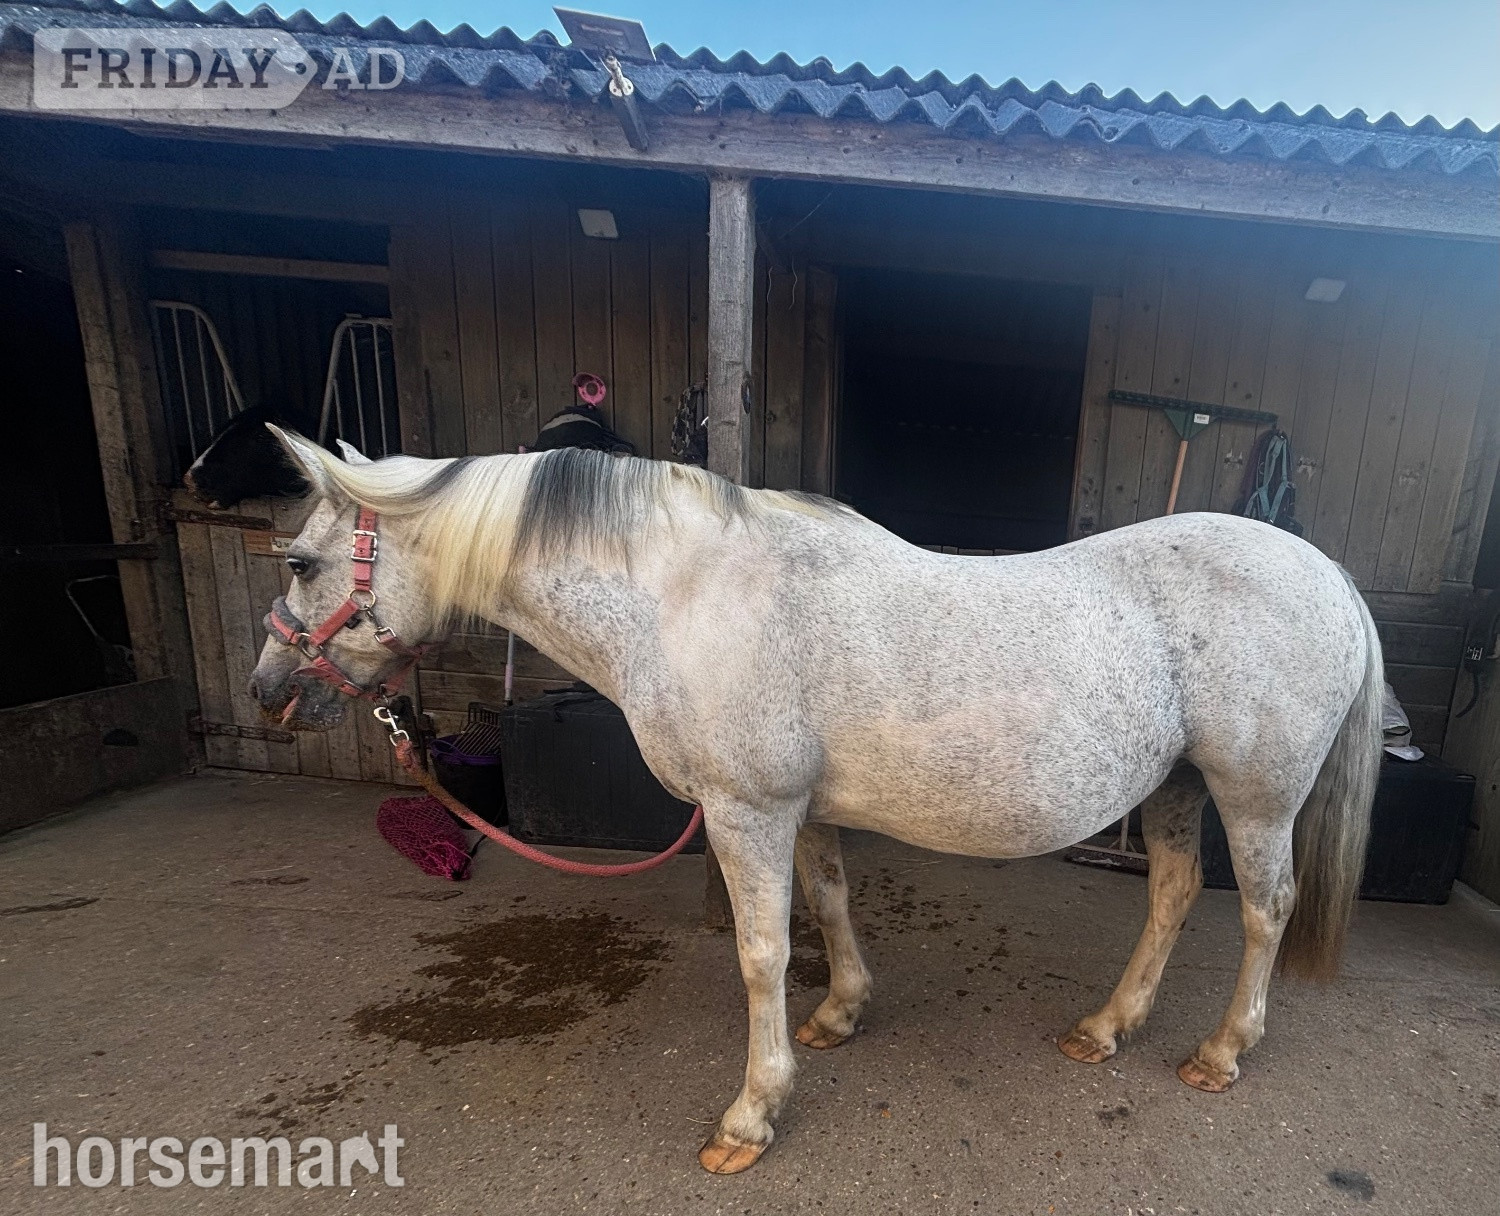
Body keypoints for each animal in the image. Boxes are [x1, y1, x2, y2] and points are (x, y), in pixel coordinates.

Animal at [248, 429, 1381, 1175]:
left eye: (300, 561)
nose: (267, 691)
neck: (689, 595)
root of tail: (1331, 577)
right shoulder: (804, 811)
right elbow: (831, 904)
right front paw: (841, 1012)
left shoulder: (748, 812)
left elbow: (760, 955)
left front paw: (753, 1114)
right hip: (1177, 787)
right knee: (1175, 894)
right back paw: (1108, 1027)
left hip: (1253, 798)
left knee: (1264, 910)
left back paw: (1221, 1052)